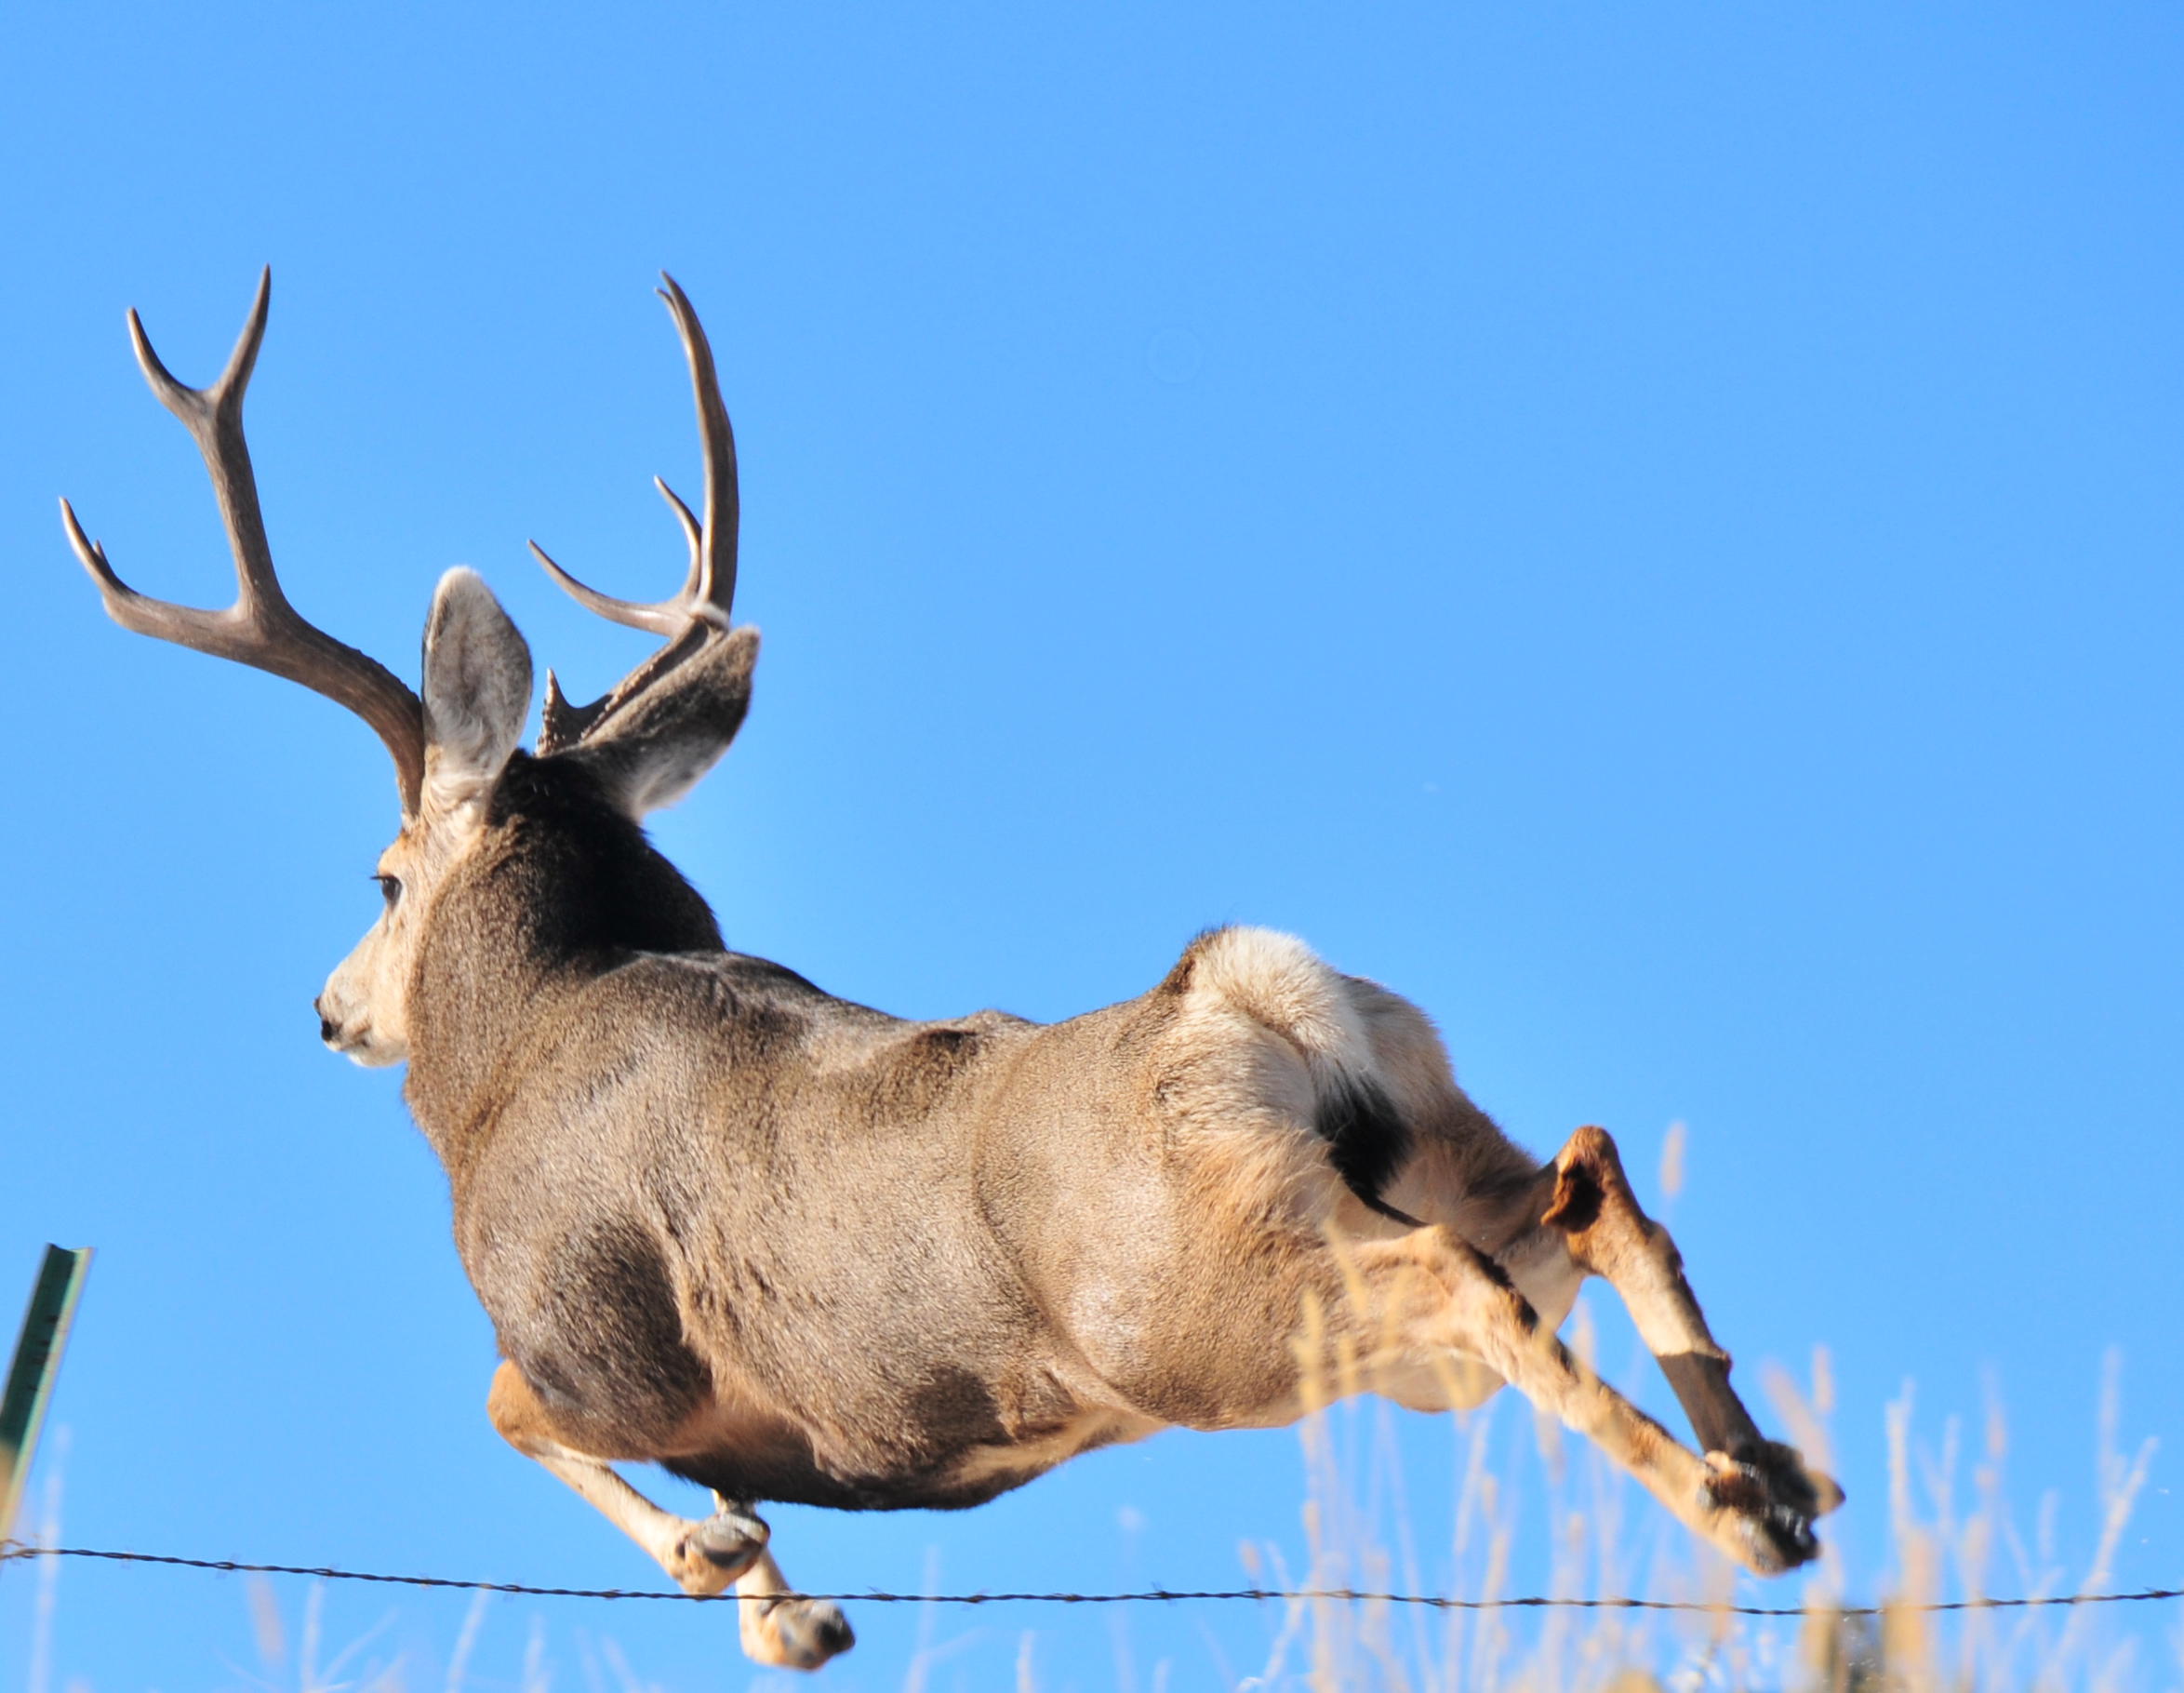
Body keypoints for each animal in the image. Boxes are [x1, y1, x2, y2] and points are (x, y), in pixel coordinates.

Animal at [63, 272, 1843, 1677]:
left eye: (380, 878)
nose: (329, 1009)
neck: (515, 1054)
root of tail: (1242, 995)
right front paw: (781, 1596)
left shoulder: (586, 1329)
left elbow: (508, 1407)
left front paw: (750, 1580)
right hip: (1426, 1161)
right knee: (1585, 1191)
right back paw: (1776, 1480)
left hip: (1198, 1301)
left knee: (1460, 1276)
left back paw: (1738, 1513)